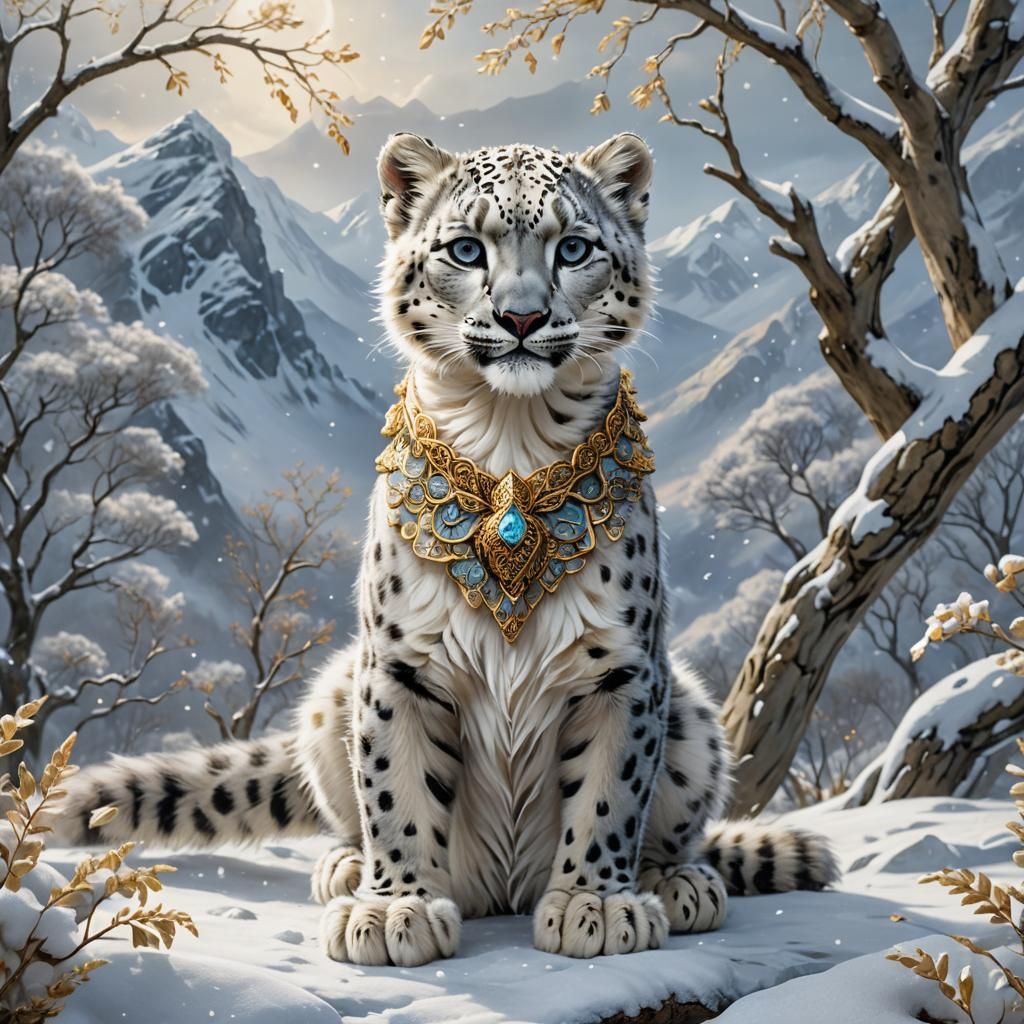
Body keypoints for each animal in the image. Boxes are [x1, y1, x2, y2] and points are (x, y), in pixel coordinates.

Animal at [54, 132, 839, 967]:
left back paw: (678, 882)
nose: (522, 316)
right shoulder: (400, 663)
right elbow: (395, 786)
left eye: (574, 247)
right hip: (333, 694)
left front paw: (595, 903)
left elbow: (609, 790)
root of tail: (505, 888)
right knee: (348, 808)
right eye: (466, 248)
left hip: (690, 715)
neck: (512, 439)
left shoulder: (622, 666)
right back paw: (347, 869)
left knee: (677, 823)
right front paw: (392, 909)